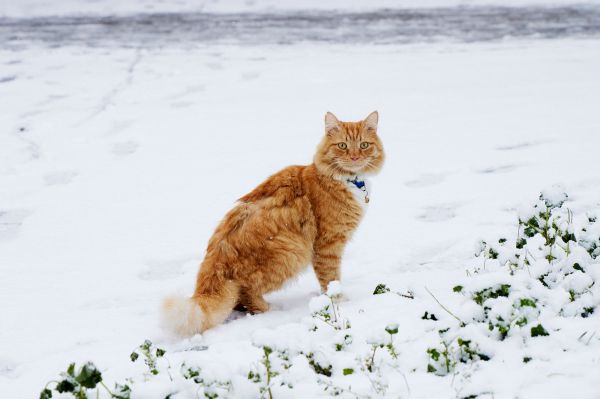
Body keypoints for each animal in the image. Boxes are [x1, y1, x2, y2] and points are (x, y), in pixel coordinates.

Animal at [162, 111, 384, 336]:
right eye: (343, 146)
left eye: (364, 145)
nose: (355, 157)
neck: (349, 181)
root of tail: (214, 262)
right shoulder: (328, 245)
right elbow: (331, 278)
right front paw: (340, 300)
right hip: (292, 253)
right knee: (245, 294)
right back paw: (270, 309)